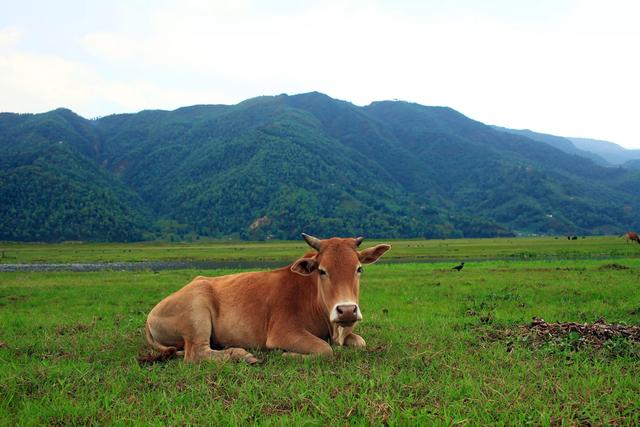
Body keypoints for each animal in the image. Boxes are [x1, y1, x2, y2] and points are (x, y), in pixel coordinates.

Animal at [143, 234, 390, 364]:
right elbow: (324, 350)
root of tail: (150, 316)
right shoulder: (283, 332)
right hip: (197, 311)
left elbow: (360, 342)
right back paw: (241, 355)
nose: (347, 310)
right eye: (322, 271)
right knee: (196, 354)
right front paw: (286, 353)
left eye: (359, 269)